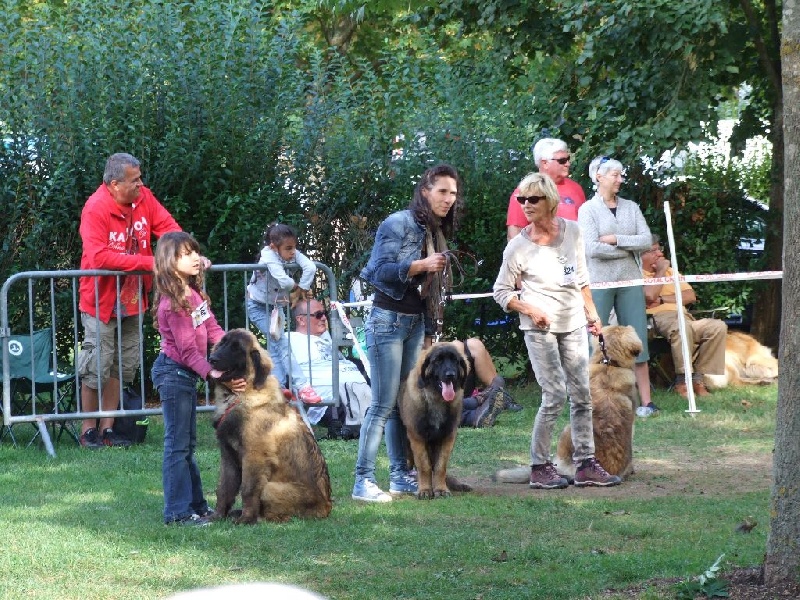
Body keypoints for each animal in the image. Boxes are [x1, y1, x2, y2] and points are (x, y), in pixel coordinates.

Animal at [209, 330, 332, 524]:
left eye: (236, 349)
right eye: (222, 343)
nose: (212, 359)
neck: (241, 394)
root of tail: (327, 507)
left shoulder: (254, 457)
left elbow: (248, 489)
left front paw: (246, 519)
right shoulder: (228, 455)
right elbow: (224, 488)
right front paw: (217, 515)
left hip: (271, 488)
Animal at [398, 340, 472, 500]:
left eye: (455, 361)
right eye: (438, 361)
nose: (450, 375)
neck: (437, 399)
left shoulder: (447, 437)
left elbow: (440, 467)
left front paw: (441, 489)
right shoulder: (417, 437)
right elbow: (424, 466)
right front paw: (425, 489)